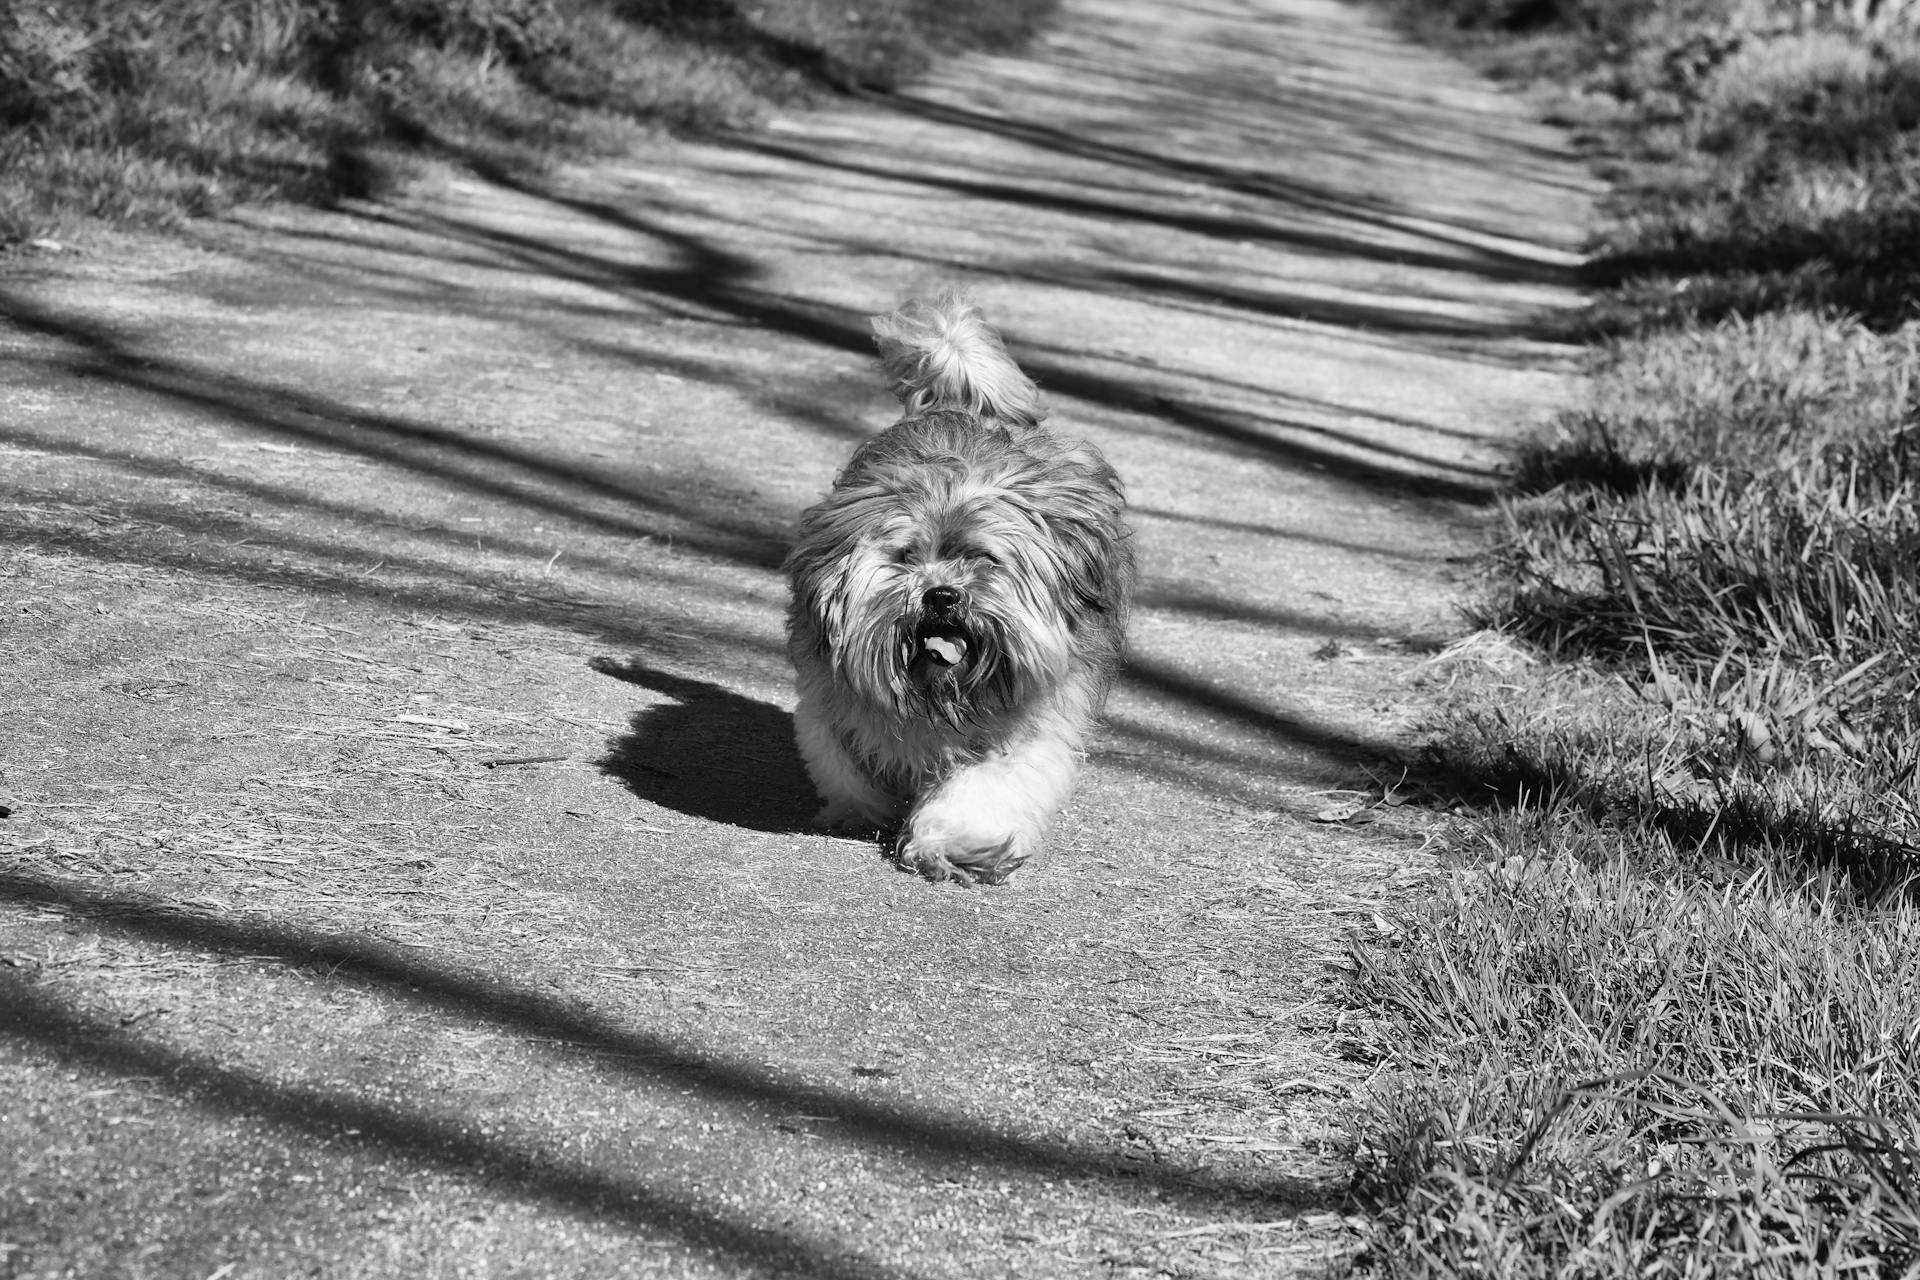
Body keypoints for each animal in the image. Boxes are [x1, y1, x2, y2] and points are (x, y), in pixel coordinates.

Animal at [787, 293, 1128, 886]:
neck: (939, 693)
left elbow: (983, 790)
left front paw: (958, 846)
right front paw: (861, 808)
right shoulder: (830, 706)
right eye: (906, 557)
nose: (942, 595)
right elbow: (846, 762)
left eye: (983, 559)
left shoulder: (1023, 730)